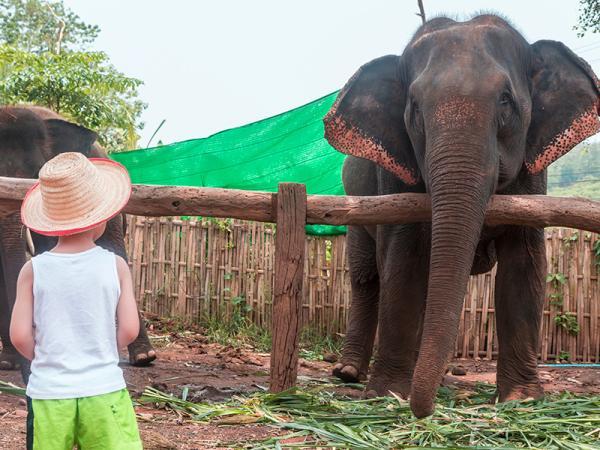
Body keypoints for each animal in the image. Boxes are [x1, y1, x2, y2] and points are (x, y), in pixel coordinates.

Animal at [324, 13, 600, 418]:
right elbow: (402, 263)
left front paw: (522, 401)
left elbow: (524, 266)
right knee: (366, 276)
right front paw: (387, 394)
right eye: (414, 107)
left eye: (506, 101)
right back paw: (348, 373)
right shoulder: (394, 174)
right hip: (354, 197)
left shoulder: (534, 173)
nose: (425, 412)